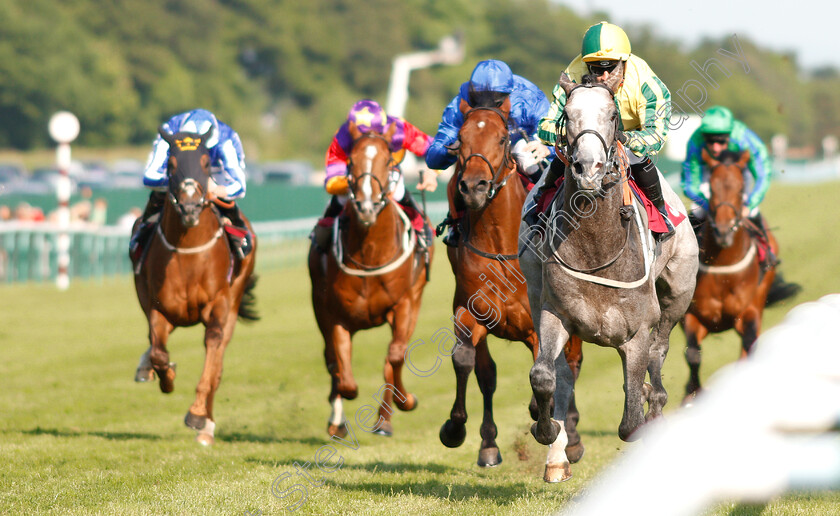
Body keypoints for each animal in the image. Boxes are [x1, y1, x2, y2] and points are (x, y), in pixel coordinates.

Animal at [130, 125, 256, 444]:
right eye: (172, 164)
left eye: (206, 163)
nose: (189, 207)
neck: (187, 251)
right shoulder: (158, 307)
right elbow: (159, 352)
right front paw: (166, 377)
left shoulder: (218, 305)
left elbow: (212, 350)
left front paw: (198, 414)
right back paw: (146, 367)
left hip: (234, 301)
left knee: (219, 362)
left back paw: (207, 427)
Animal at [306, 122, 434, 440]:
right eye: (351, 162)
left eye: (388, 161)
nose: (365, 206)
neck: (371, 254)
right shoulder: (334, 313)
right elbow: (344, 375)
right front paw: (338, 419)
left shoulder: (405, 303)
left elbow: (395, 356)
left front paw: (405, 401)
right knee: (333, 363)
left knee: (392, 356)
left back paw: (385, 420)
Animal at [440, 95, 584, 468]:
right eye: (459, 140)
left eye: (503, 138)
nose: (473, 187)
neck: (502, 246)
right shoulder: (469, 312)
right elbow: (466, 361)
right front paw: (455, 428)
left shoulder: (539, 323)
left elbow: (548, 376)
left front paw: (548, 424)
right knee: (487, 373)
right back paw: (489, 443)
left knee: (572, 365)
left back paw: (572, 437)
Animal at [520, 66, 700, 482]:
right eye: (566, 115)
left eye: (613, 115)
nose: (588, 170)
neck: (597, 247)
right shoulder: (556, 313)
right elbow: (544, 375)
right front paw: (546, 427)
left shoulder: (636, 333)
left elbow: (631, 420)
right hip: (534, 288)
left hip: (678, 293)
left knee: (660, 351)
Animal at [680, 149, 784, 404]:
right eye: (712, 188)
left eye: (740, 188)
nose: (724, 231)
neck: (723, 270)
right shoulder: (692, 316)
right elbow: (693, 354)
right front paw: (692, 394)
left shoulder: (749, 312)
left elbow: (748, 345)